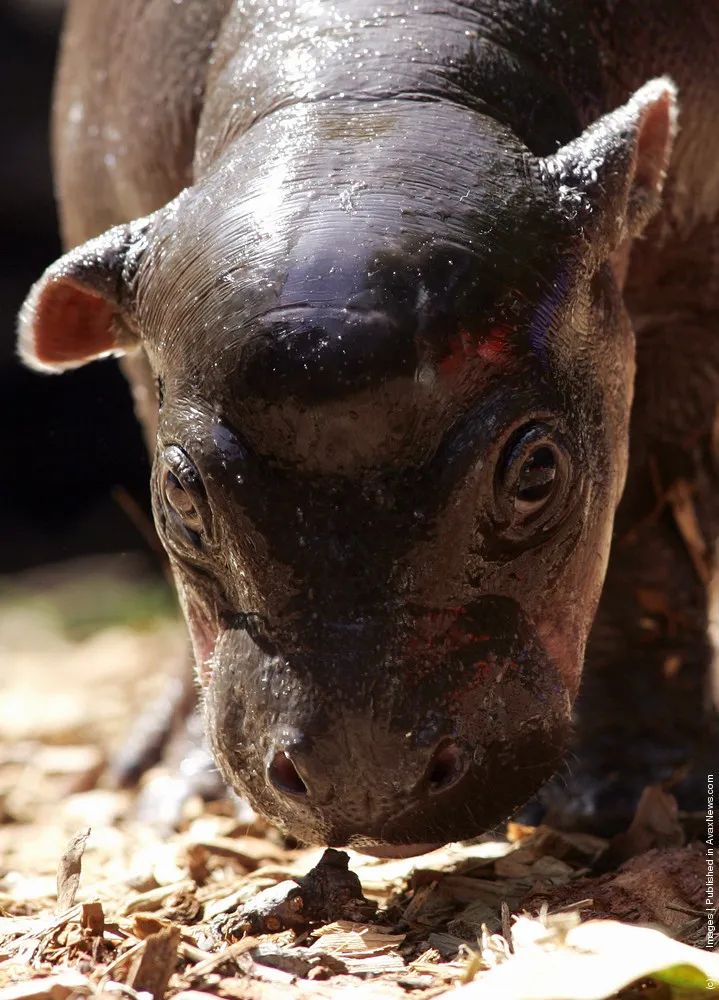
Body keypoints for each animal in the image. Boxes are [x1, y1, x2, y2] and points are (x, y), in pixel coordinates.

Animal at [18, 0, 718, 855]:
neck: (368, 89)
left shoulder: (683, 307)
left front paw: (622, 797)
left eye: (537, 471)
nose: (362, 776)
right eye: (179, 492)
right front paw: (181, 794)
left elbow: (647, 549)